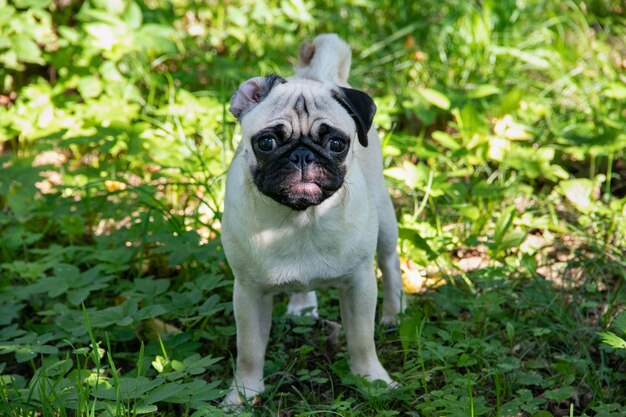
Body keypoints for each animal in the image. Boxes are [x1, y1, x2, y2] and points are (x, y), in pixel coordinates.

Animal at [222, 34, 402, 404]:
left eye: (337, 143)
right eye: (266, 142)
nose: (302, 155)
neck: (299, 220)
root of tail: (317, 76)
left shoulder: (360, 284)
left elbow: (362, 340)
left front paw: (373, 380)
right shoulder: (248, 293)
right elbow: (249, 350)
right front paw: (242, 395)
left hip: (385, 220)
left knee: (390, 262)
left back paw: (393, 314)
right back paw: (302, 306)